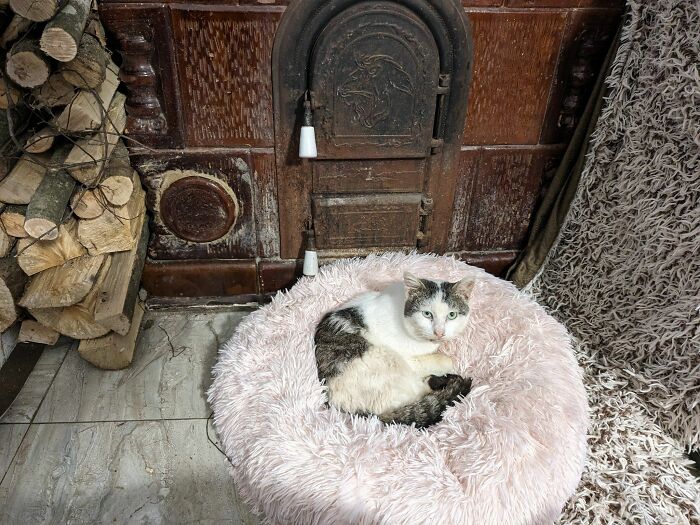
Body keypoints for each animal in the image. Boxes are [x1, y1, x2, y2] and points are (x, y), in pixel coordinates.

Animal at [318, 272, 476, 428]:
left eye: (452, 315)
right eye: (427, 314)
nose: (439, 332)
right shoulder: (411, 359)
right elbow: (446, 360)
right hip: (388, 361)